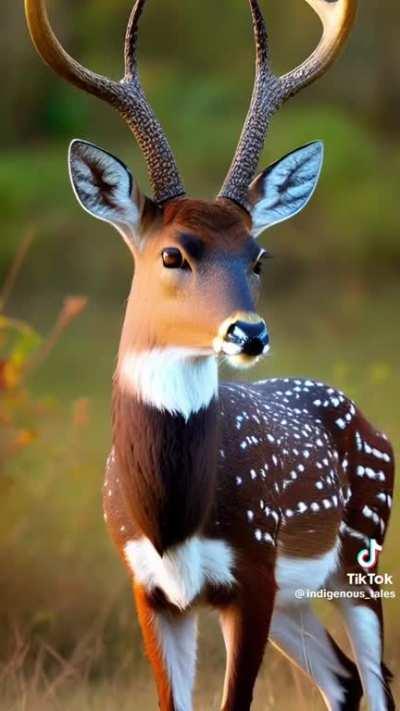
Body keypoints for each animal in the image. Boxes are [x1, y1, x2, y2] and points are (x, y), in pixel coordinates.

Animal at [25, 1, 395, 709]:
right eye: (173, 253)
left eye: (258, 256)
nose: (249, 333)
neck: (172, 518)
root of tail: (371, 424)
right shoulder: (147, 587)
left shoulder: (250, 568)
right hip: (298, 596)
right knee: (343, 677)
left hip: (362, 547)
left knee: (377, 676)